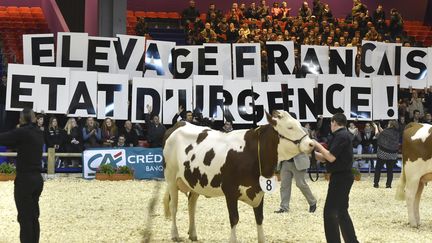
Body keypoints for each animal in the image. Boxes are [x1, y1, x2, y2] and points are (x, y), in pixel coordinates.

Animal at [162, 111, 314, 242]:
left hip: (194, 182)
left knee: (191, 206)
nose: (311, 144)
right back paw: (175, 235)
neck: (251, 153)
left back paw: (193, 234)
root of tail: (179, 124)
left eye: (299, 124)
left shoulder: (259, 190)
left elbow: (259, 218)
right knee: (174, 206)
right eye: (290, 127)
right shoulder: (230, 191)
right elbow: (234, 218)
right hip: (171, 178)